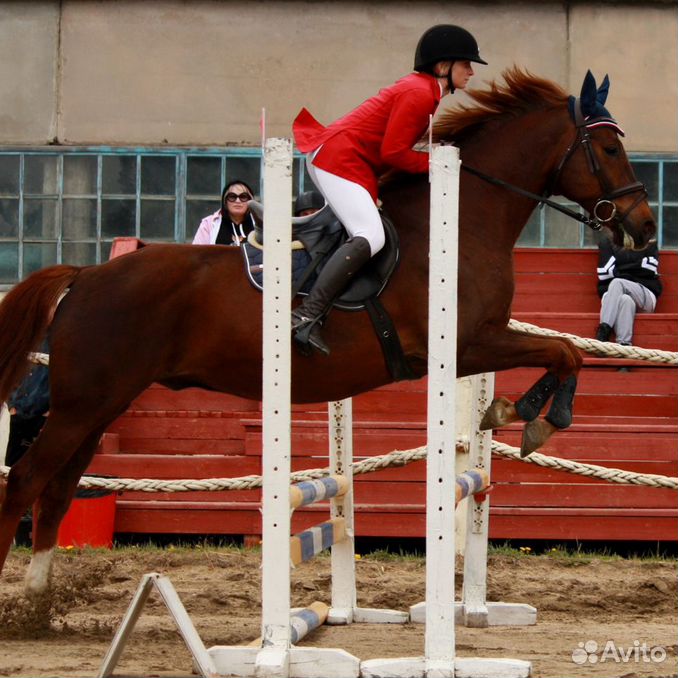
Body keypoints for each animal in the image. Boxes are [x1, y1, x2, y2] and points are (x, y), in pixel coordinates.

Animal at [0, 69, 660, 596]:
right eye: (607, 147)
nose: (645, 227)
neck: (463, 221)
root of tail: (86, 273)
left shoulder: (480, 341)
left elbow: (563, 351)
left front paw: (517, 413)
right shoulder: (466, 342)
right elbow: (567, 350)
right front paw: (535, 417)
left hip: (99, 405)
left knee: (58, 489)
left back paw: (38, 599)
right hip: (86, 402)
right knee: (28, 479)